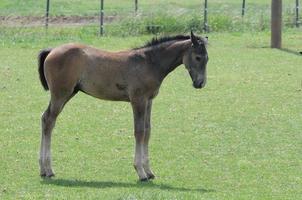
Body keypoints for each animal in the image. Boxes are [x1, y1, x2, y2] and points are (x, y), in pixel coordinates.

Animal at [37, 31, 209, 181]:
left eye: (207, 59)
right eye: (198, 57)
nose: (200, 84)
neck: (149, 63)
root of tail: (52, 50)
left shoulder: (149, 101)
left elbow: (147, 131)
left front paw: (149, 171)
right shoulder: (138, 100)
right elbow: (139, 132)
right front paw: (141, 172)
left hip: (69, 93)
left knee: (45, 119)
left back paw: (44, 170)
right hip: (61, 94)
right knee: (49, 121)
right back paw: (48, 170)